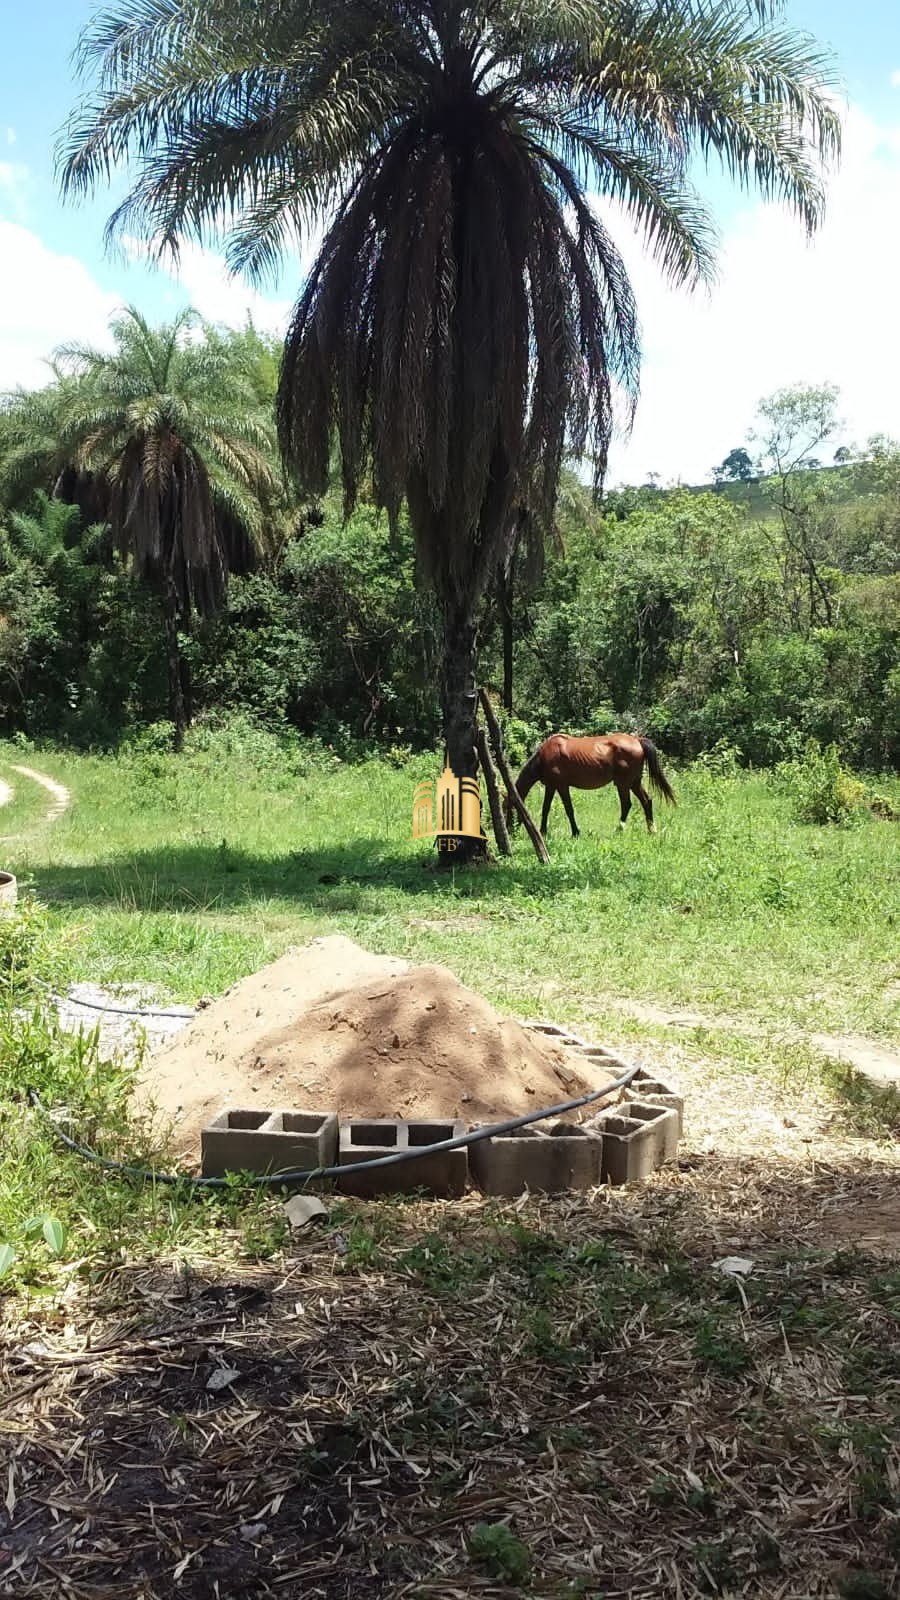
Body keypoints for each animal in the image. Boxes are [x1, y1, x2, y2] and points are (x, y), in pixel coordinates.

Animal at [509, 732, 669, 838]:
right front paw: (543, 832)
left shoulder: (561, 786)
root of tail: (637, 740)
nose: (510, 832)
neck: (544, 757)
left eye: (508, 810)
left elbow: (568, 809)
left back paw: (619, 830)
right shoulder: (551, 786)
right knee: (646, 801)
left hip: (623, 784)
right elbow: (546, 808)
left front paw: (575, 833)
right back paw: (651, 830)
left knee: (626, 804)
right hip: (634, 783)